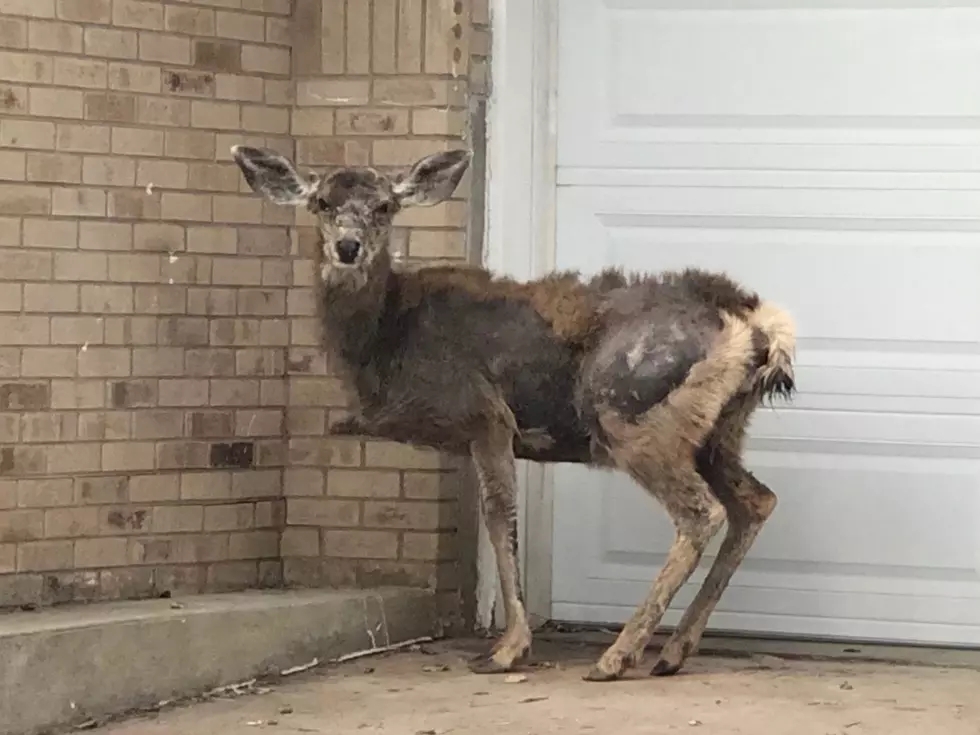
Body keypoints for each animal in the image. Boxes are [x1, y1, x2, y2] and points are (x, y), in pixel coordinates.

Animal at [235, 144, 796, 684]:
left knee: (702, 513)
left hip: (631, 418)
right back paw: (673, 652)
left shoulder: (486, 415)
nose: (347, 247)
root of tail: (761, 327)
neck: (387, 339)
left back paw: (617, 655)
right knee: (757, 500)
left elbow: (499, 513)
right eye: (321, 203)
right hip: (718, 435)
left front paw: (509, 648)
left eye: (385, 206)